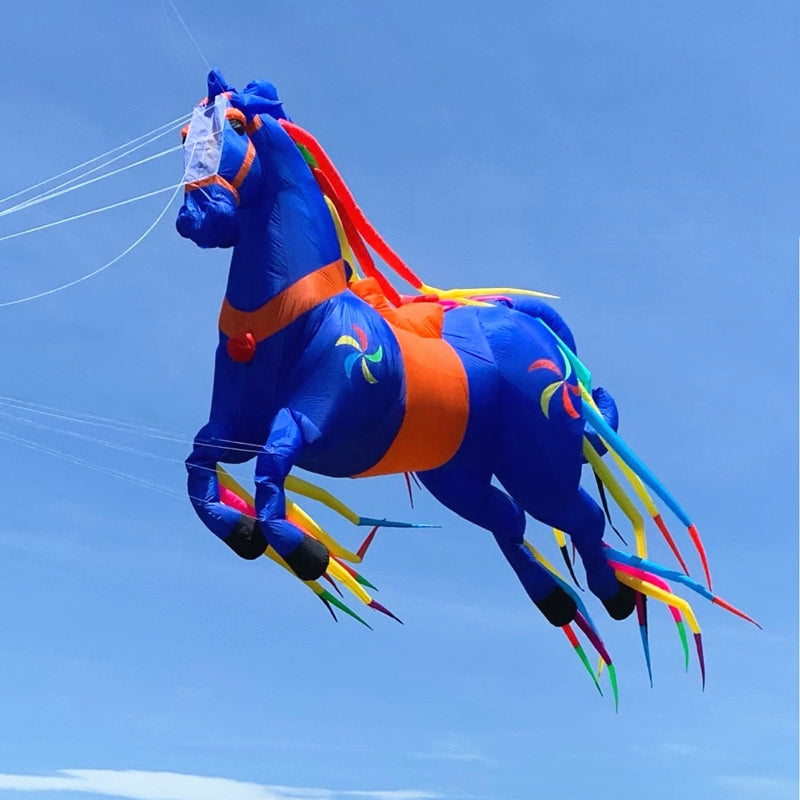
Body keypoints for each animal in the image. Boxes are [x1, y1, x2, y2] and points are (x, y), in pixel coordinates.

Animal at [175, 69, 643, 631]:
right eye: (184, 138)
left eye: (238, 125)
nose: (198, 217)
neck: (295, 315)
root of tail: (528, 324)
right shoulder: (235, 425)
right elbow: (198, 461)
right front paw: (245, 534)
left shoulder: (321, 416)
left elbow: (274, 456)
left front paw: (302, 550)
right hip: (457, 474)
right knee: (508, 519)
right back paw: (555, 600)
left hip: (538, 459)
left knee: (580, 516)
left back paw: (615, 594)